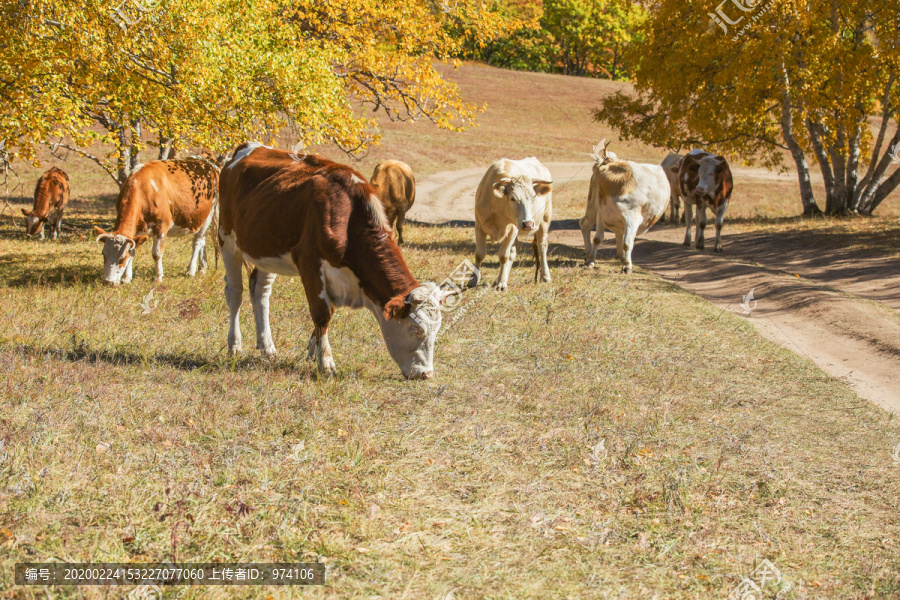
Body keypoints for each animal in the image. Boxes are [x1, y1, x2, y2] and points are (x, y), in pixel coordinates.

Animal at [92, 157, 220, 284]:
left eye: (122, 258)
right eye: (104, 255)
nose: (108, 281)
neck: (143, 189)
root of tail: (208, 161)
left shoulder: (161, 226)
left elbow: (157, 254)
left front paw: (158, 277)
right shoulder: (136, 231)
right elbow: (133, 252)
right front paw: (127, 278)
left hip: (208, 215)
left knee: (198, 242)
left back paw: (191, 270)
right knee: (203, 241)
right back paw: (202, 267)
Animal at [218, 142, 458, 380]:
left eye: (436, 330)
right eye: (415, 329)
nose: (426, 374)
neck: (348, 217)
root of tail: (249, 146)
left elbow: (327, 313)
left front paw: (313, 352)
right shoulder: (310, 264)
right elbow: (322, 314)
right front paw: (325, 363)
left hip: (266, 250)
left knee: (260, 292)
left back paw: (267, 348)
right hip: (227, 237)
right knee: (235, 292)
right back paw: (234, 346)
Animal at [468, 158, 552, 292]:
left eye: (534, 197)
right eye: (513, 198)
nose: (528, 224)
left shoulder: (513, 229)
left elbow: (504, 256)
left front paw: (502, 283)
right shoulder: (479, 226)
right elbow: (480, 254)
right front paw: (473, 280)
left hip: (545, 220)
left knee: (542, 245)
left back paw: (545, 276)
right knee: (513, 252)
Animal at [580, 141, 672, 274]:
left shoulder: (632, 218)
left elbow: (627, 243)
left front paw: (627, 266)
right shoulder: (602, 213)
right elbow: (597, 238)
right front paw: (591, 261)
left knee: (618, 234)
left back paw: (622, 259)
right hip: (593, 206)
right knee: (586, 225)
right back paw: (590, 254)